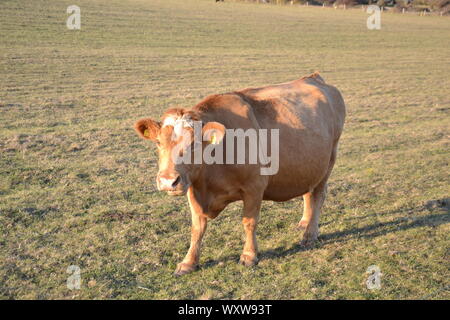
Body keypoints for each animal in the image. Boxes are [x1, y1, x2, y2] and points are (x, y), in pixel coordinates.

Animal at [134, 72, 344, 276]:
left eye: (194, 144)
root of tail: (313, 77)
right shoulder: (194, 189)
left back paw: (310, 234)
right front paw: (188, 262)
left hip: (329, 161)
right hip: (310, 166)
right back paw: (304, 223)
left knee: (318, 196)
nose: (168, 181)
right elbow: (197, 228)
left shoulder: (255, 187)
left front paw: (249, 255)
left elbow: (249, 222)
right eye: (158, 142)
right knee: (308, 194)